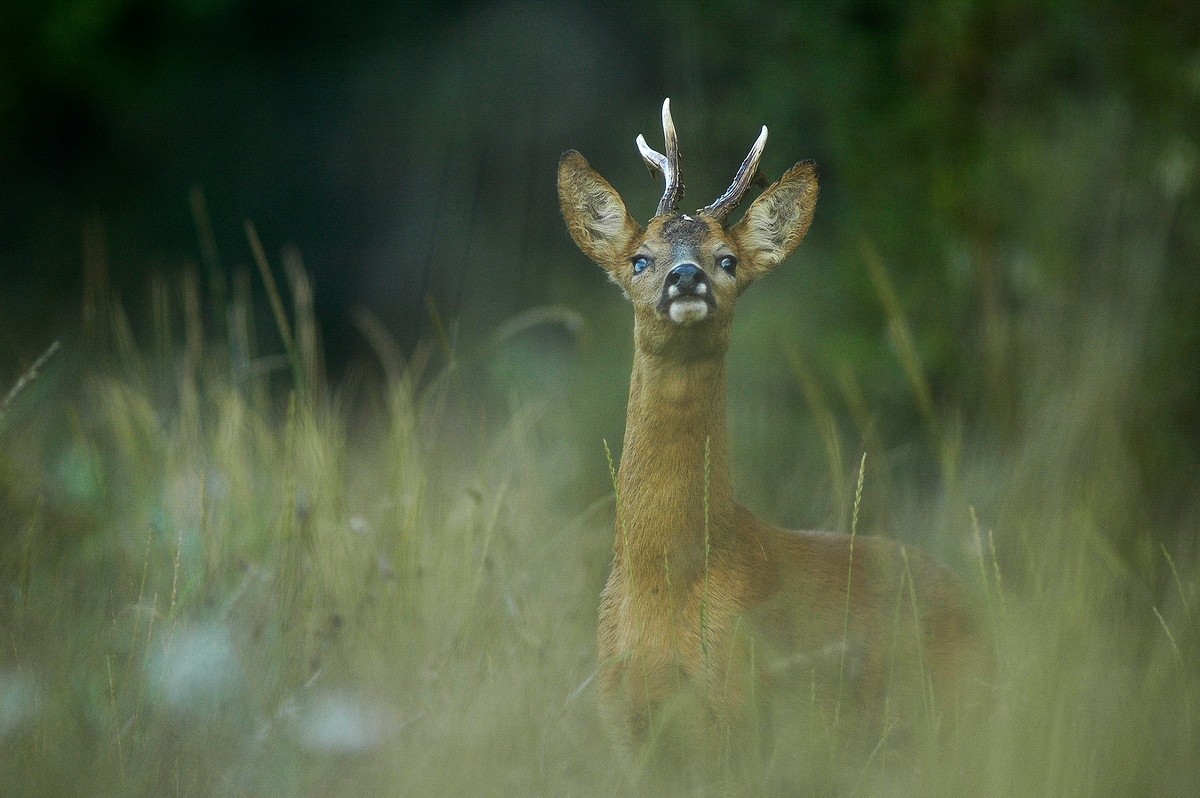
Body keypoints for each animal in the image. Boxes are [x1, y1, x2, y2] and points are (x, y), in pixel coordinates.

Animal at [556, 101, 979, 768]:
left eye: (726, 258)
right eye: (640, 259)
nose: (686, 277)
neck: (664, 581)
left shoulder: (744, 705)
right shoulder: (622, 719)